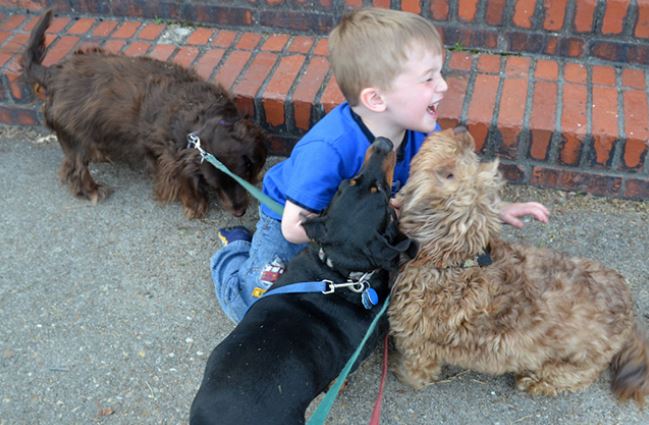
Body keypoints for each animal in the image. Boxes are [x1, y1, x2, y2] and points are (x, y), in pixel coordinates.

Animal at [22, 10, 266, 219]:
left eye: (244, 175)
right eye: (213, 185)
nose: (239, 212)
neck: (201, 117)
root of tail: (51, 74)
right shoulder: (171, 159)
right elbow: (184, 184)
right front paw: (196, 206)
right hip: (74, 135)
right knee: (75, 169)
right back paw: (93, 190)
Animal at [388, 126, 648, 404]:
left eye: (449, 174)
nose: (461, 131)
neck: (452, 262)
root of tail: (629, 312)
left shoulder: (418, 345)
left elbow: (415, 372)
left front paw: (399, 372)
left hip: (578, 361)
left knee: (573, 377)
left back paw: (534, 381)